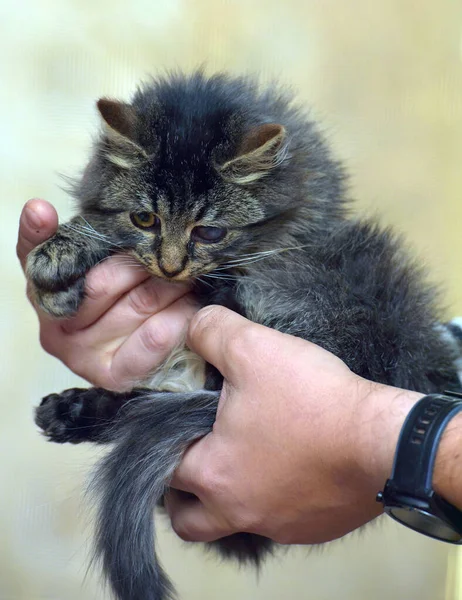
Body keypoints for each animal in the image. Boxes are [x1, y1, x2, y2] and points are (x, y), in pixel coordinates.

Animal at [27, 71, 462, 600]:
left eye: (210, 232)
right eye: (145, 219)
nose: (170, 266)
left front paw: (68, 252)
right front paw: (61, 262)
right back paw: (70, 411)